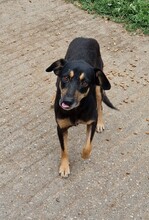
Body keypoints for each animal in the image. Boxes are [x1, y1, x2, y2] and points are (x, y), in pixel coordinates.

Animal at [45, 36, 116, 177]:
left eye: (84, 83)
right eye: (65, 78)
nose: (66, 102)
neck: (75, 110)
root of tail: (86, 38)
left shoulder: (91, 122)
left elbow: (88, 146)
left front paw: (84, 155)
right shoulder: (61, 128)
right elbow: (64, 149)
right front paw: (64, 166)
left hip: (99, 88)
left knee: (100, 106)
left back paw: (101, 123)